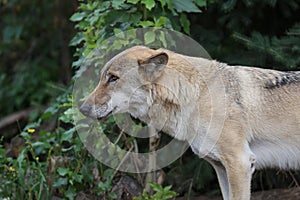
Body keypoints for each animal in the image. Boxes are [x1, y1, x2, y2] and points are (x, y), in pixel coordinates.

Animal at [79, 45, 300, 200]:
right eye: (103, 78)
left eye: (113, 78)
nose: (82, 109)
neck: (197, 95)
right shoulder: (221, 168)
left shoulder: (240, 163)